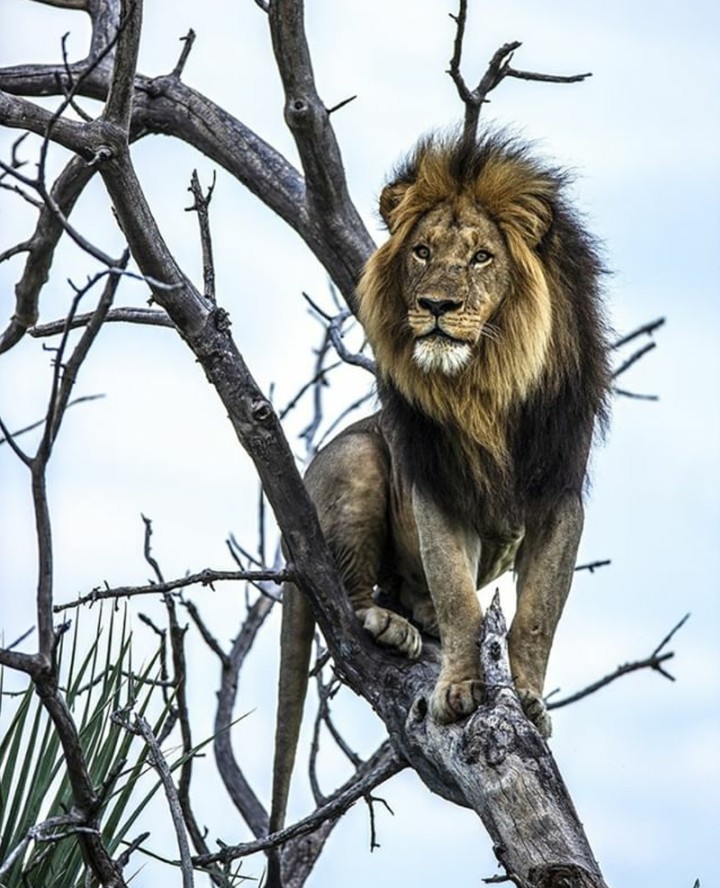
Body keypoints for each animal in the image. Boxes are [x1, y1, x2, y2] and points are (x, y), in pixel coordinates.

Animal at [267, 133, 610, 871]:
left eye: (482, 256)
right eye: (423, 251)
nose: (436, 306)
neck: (488, 385)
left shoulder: (561, 497)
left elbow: (537, 616)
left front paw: (528, 698)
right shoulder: (436, 486)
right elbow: (458, 597)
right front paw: (457, 689)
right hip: (359, 459)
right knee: (357, 595)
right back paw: (389, 623)